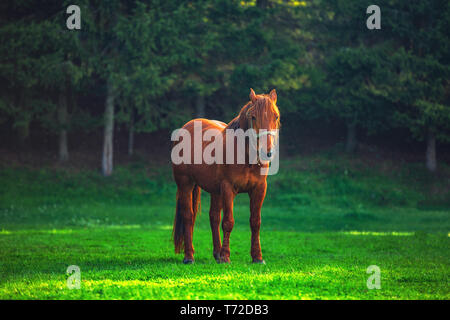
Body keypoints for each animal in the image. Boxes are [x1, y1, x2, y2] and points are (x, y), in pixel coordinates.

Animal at [171, 89, 280, 264]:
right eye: (253, 117)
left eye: (275, 116)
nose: (267, 152)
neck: (245, 156)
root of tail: (187, 126)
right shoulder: (228, 188)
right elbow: (228, 222)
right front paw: (226, 257)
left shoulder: (259, 189)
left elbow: (255, 222)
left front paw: (257, 257)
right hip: (185, 184)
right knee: (188, 216)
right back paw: (189, 256)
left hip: (215, 191)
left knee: (214, 217)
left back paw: (217, 253)